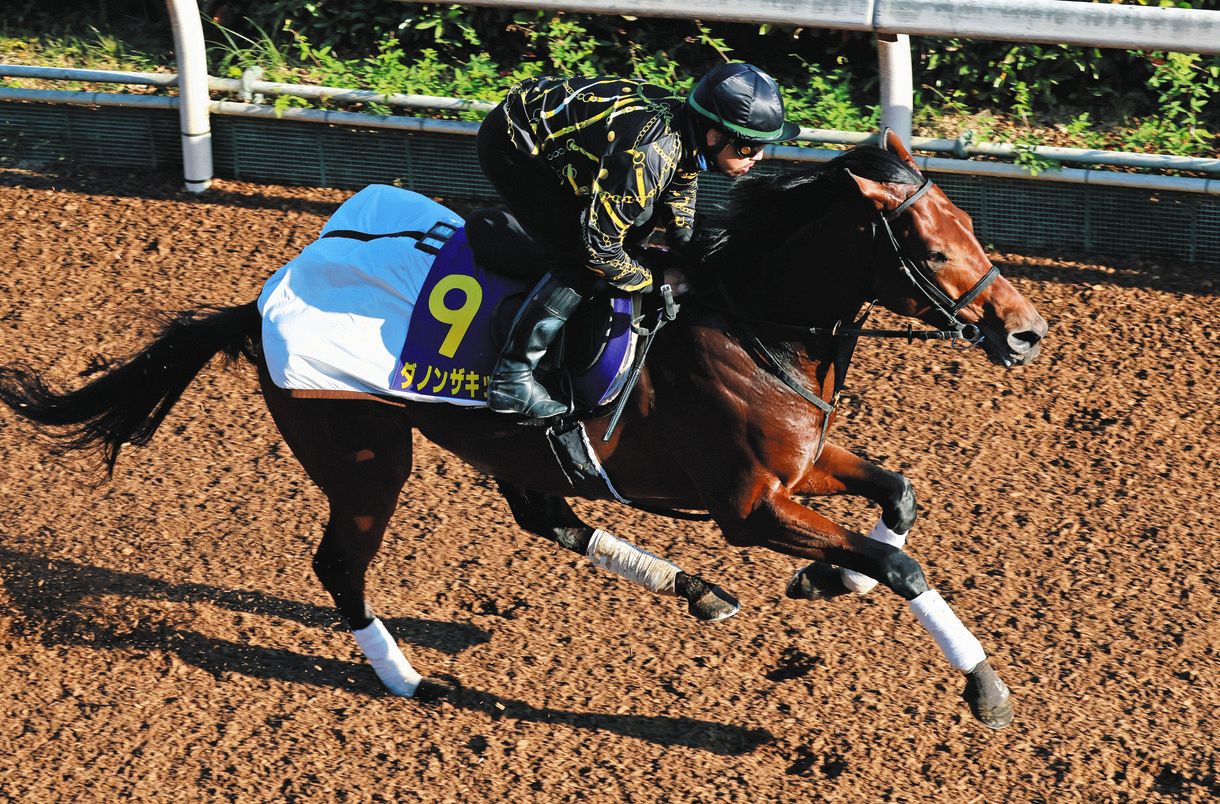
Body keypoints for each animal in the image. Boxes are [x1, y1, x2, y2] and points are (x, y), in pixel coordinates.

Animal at [0, 131, 1046, 730]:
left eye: (975, 226)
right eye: (934, 249)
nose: (1027, 330)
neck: (748, 317)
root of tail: (259, 304)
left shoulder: (804, 461)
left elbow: (897, 500)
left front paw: (829, 576)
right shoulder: (749, 507)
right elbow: (901, 561)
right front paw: (983, 687)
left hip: (508, 446)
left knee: (547, 517)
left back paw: (697, 591)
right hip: (366, 458)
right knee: (341, 567)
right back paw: (408, 680)